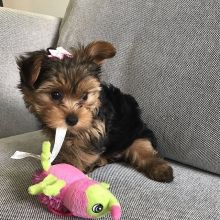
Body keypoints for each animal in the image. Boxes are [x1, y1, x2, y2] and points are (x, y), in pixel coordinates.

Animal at [17, 40, 174, 182]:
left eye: (85, 96)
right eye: (55, 94)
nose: (72, 120)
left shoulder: (94, 131)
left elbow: (81, 153)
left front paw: (71, 168)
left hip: (137, 135)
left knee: (144, 151)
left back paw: (161, 169)